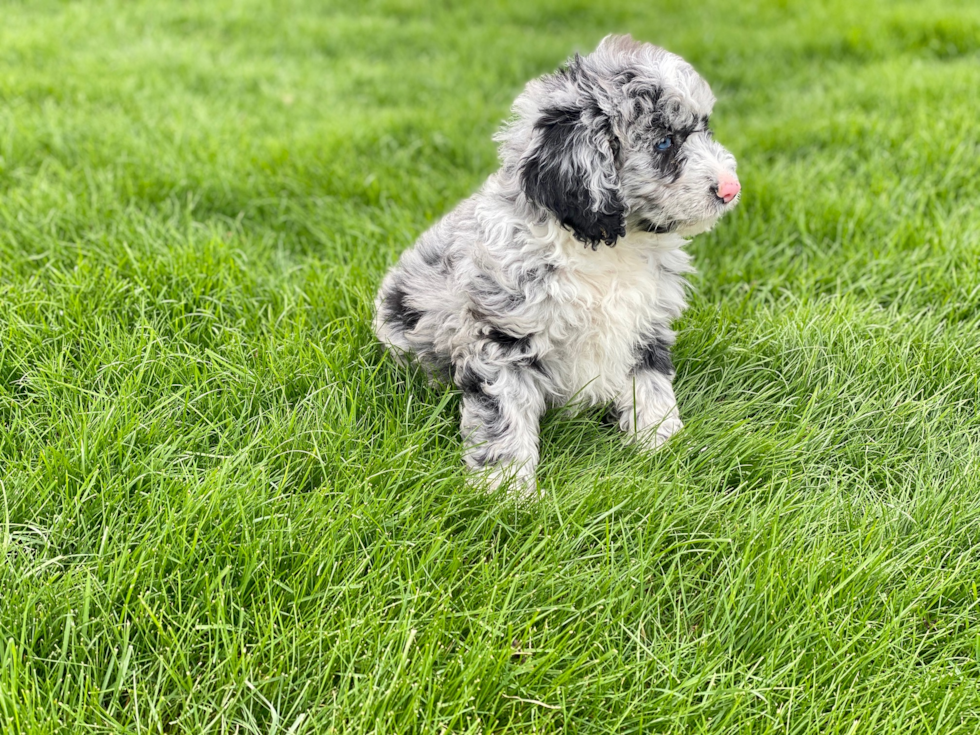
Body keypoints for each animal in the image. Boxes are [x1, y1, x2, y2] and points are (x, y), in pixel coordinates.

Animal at [376, 33, 744, 494]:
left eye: (705, 129)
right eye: (664, 143)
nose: (731, 189)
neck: (609, 249)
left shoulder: (645, 326)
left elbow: (651, 388)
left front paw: (663, 449)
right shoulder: (501, 339)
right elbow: (505, 417)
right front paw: (507, 492)